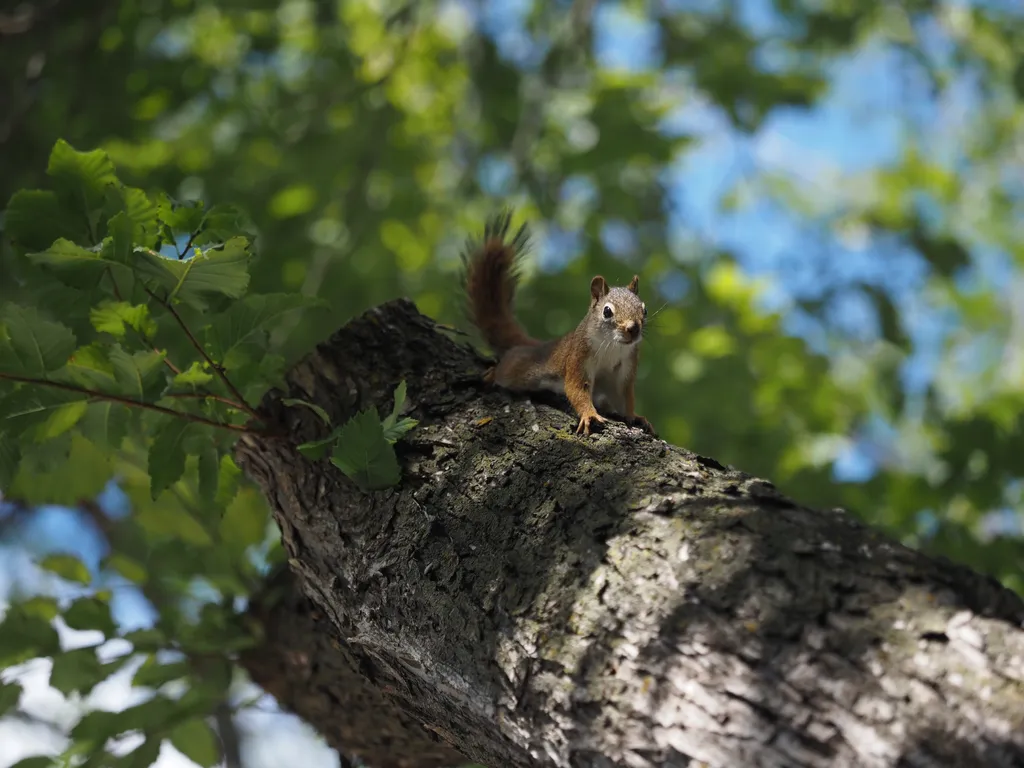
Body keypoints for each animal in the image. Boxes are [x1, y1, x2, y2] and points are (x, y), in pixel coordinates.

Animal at [460, 214, 651, 436]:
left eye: (644, 310)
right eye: (607, 311)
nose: (633, 329)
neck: (612, 346)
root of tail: (541, 345)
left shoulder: (625, 369)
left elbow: (625, 399)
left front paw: (636, 417)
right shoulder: (578, 356)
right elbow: (576, 387)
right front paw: (589, 414)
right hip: (519, 370)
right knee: (506, 369)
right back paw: (491, 375)